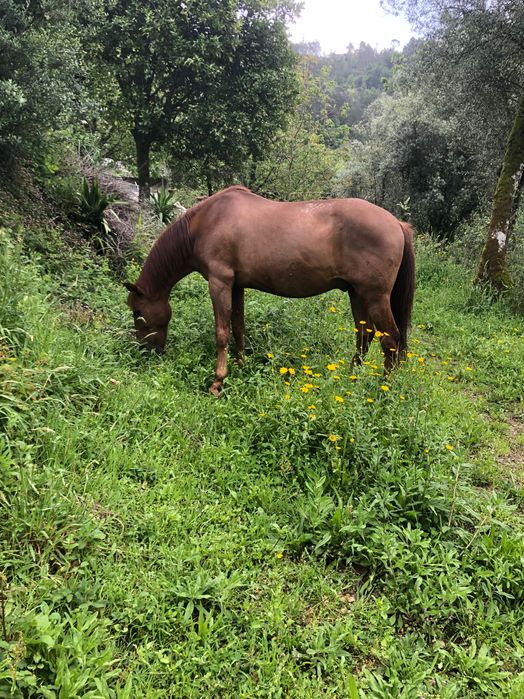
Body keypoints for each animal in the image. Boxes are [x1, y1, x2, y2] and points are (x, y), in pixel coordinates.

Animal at [125, 186, 415, 396]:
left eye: (137, 312)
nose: (146, 351)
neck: (206, 222)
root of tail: (397, 223)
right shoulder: (236, 286)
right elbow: (238, 327)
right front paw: (240, 366)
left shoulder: (219, 282)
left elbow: (222, 333)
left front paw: (217, 382)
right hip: (357, 293)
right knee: (364, 337)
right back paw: (350, 379)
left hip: (375, 296)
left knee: (390, 340)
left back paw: (383, 389)